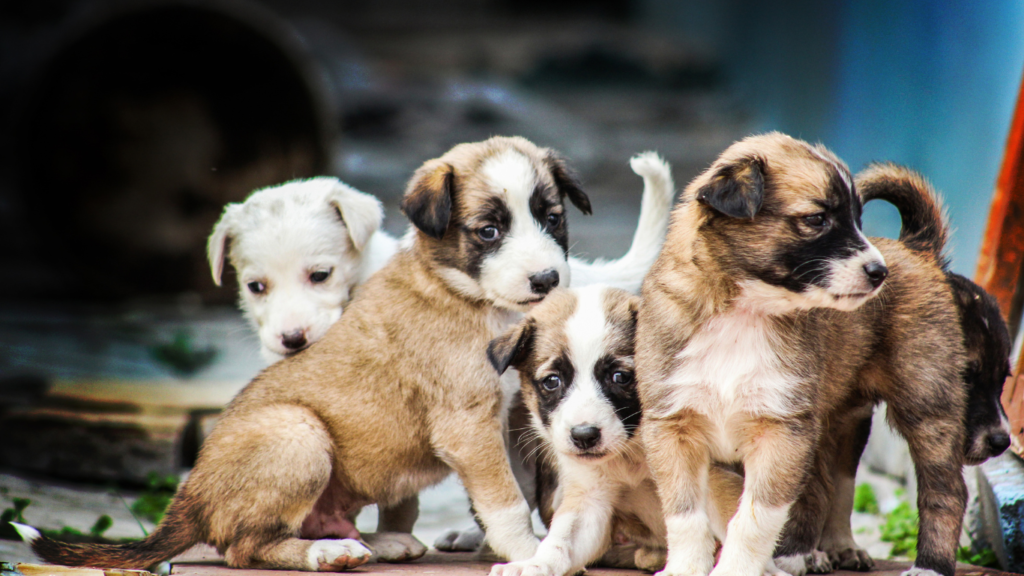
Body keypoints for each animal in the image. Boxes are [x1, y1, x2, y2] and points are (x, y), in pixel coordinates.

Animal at [16, 135, 610, 569]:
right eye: (488, 231)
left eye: (552, 219)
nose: (547, 280)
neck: (463, 292)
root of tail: (191, 497)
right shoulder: (467, 424)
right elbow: (505, 500)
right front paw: (532, 554)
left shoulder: (510, 416)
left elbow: (522, 489)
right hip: (297, 433)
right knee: (244, 548)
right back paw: (326, 552)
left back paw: (377, 541)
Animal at [485, 282, 745, 573]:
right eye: (552, 381)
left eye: (621, 377)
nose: (584, 436)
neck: (633, 452)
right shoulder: (589, 498)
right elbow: (560, 540)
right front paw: (535, 564)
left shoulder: (715, 478)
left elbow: (733, 522)